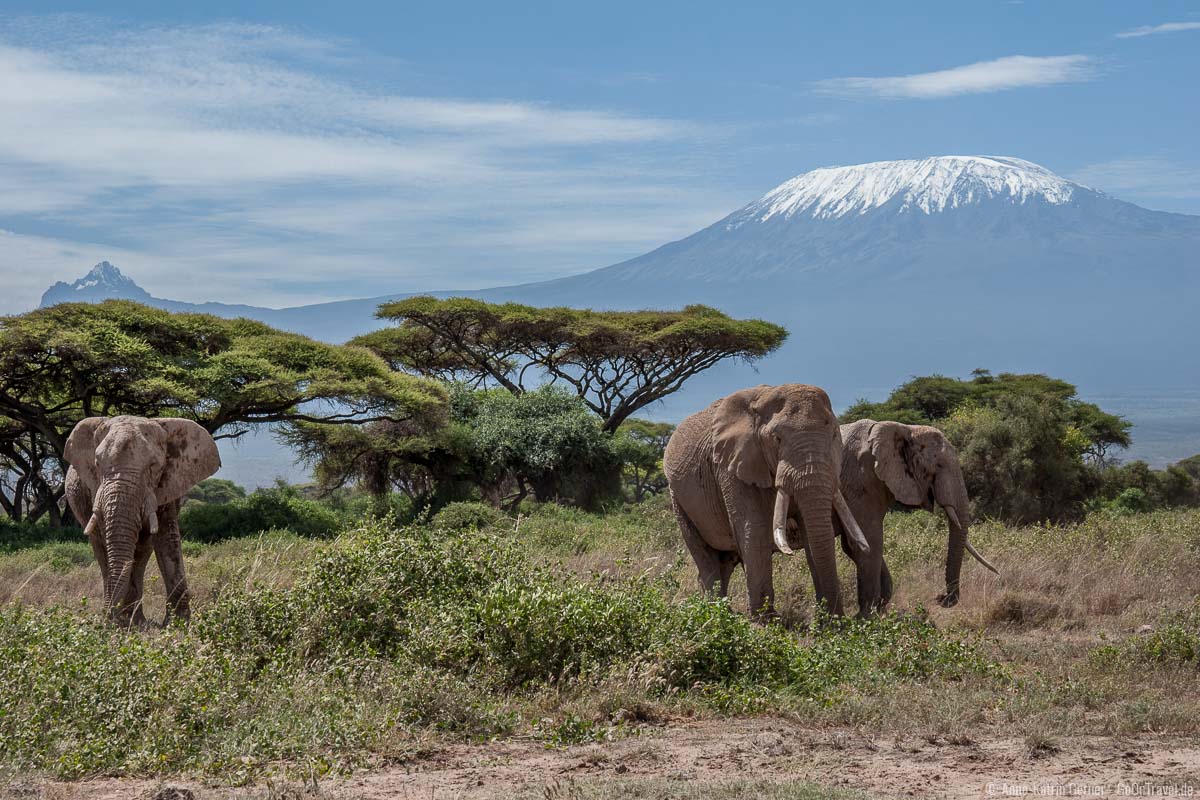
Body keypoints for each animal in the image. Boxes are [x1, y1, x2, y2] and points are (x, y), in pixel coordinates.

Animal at [65, 417, 220, 628]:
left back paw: (134, 619)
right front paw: (122, 622)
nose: (108, 621)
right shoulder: (96, 490)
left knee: (142, 552)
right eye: (97, 463)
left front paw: (178, 624)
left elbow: (167, 540)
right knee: (102, 551)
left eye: (153, 466)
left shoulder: (167, 485)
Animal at [662, 383, 868, 618]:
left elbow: (810, 532)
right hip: (678, 498)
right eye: (777, 439)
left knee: (726, 562)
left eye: (834, 435)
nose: (837, 618)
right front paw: (766, 620)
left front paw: (829, 621)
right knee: (706, 557)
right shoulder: (731, 466)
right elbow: (754, 528)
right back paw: (717, 613)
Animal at [830, 419, 998, 618]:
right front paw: (866, 617)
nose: (940, 598)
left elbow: (853, 545)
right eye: (938, 466)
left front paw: (879, 608)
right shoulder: (861, 481)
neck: (906, 428)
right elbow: (869, 542)